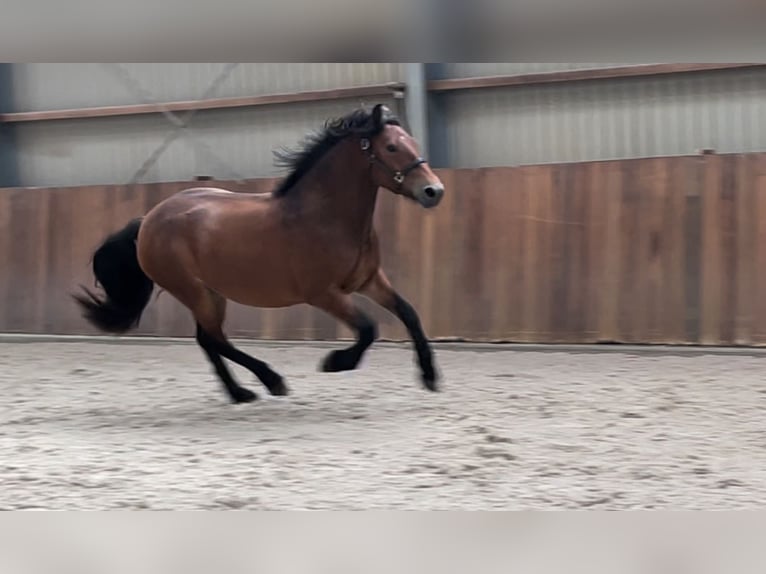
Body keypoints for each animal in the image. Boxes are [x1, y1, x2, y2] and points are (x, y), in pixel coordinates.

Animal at [75, 103, 448, 404]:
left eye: (413, 144)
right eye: (391, 147)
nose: (434, 191)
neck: (324, 217)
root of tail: (148, 221)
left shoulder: (369, 280)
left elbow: (409, 313)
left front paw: (430, 377)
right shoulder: (323, 294)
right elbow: (369, 328)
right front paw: (334, 363)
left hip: (211, 292)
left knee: (208, 340)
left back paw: (240, 393)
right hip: (192, 290)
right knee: (216, 340)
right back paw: (270, 381)